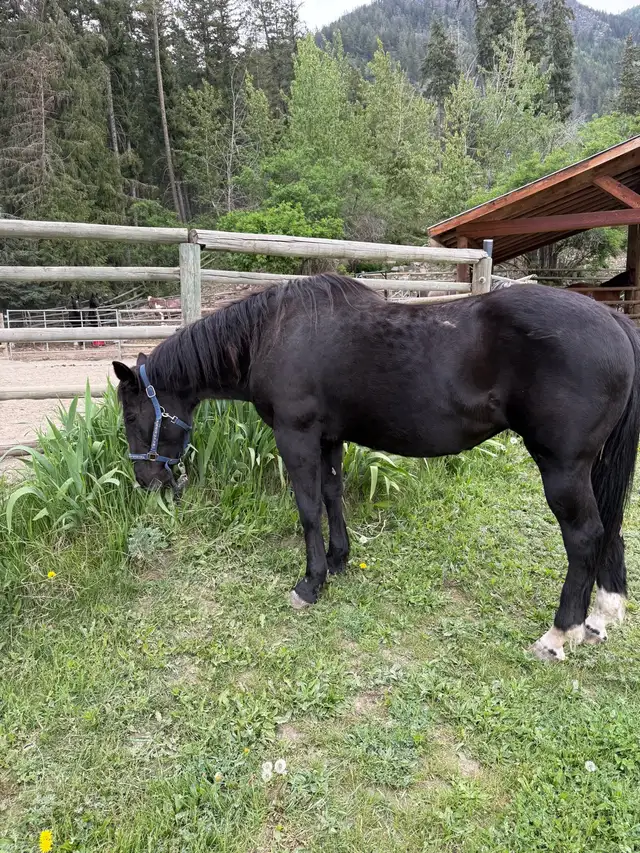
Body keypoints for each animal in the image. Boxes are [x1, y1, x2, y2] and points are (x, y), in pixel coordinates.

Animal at [113, 274, 640, 662]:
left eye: (132, 416)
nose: (146, 480)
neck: (275, 334)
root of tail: (614, 321)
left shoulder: (296, 436)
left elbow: (308, 507)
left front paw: (311, 583)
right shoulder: (329, 438)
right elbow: (332, 496)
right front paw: (338, 560)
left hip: (563, 467)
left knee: (585, 536)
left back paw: (560, 633)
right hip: (592, 467)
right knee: (611, 527)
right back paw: (602, 616)